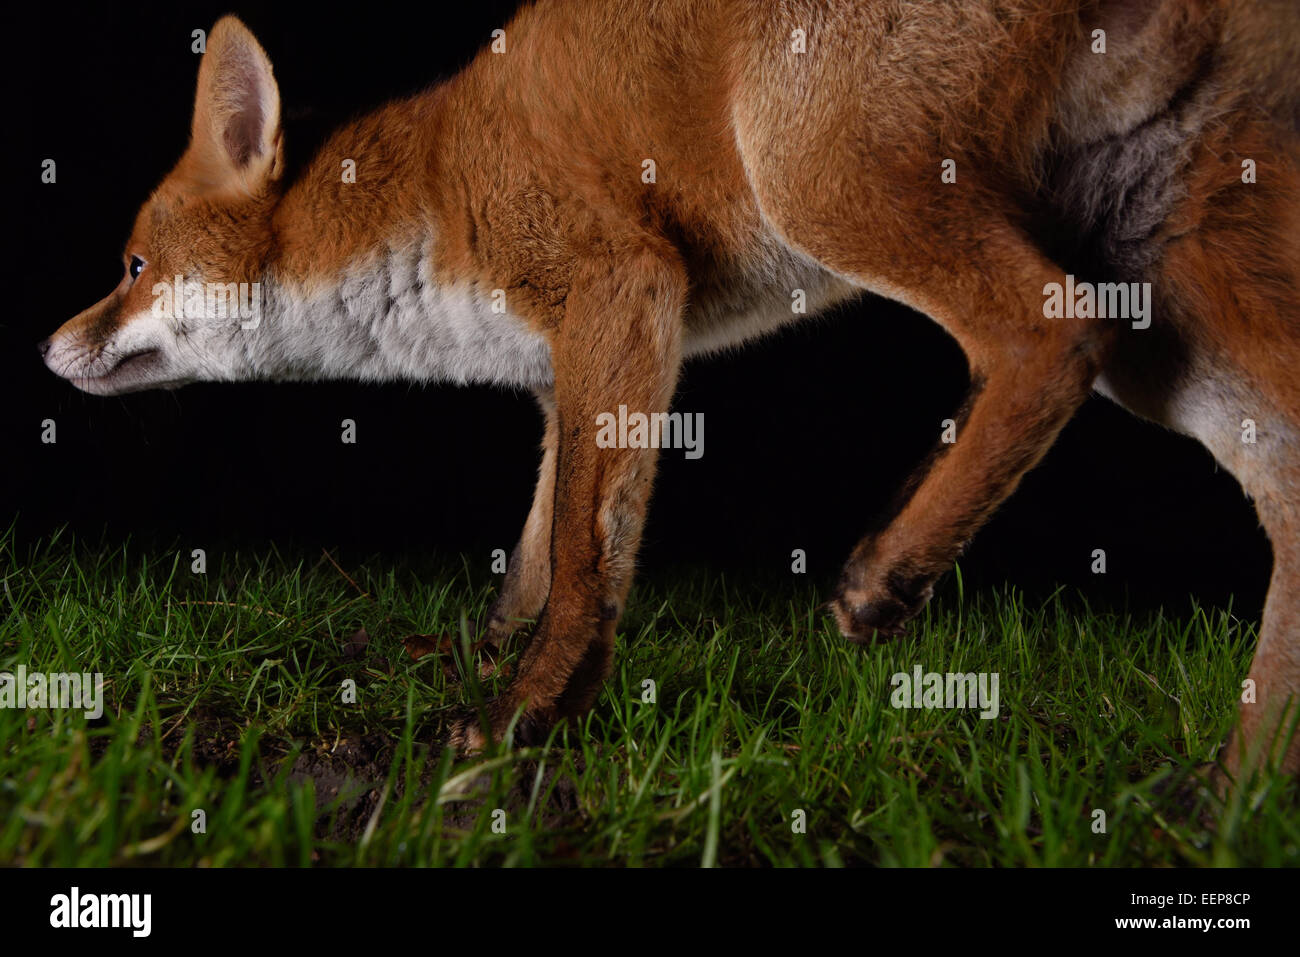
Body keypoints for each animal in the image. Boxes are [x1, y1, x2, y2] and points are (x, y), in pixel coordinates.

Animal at [40, 0, 1300, 783]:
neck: (431, 189)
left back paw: (889, 573)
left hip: (819, 182)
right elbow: (536, 555)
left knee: (1055, 333)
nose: (51, 347)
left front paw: (521, 722)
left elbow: (586, 560)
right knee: (1284, 480)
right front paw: (490, 667)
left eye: (132, 267)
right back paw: (1235, 792)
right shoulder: (572, 373)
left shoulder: (620, 283)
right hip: (1162, 313)